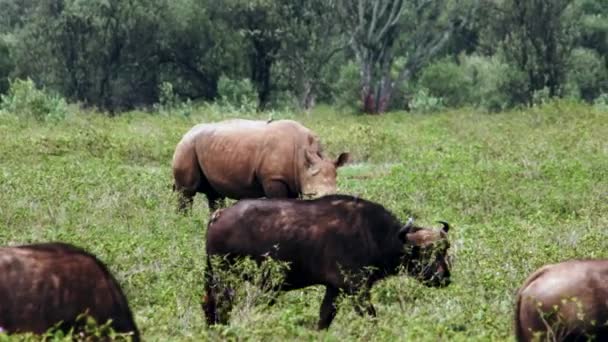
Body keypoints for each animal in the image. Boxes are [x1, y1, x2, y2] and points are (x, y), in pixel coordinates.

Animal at [171, 119, 352, 211]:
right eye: (312, 196)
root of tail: (186, 132)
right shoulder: (274, 179)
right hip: (186, 147)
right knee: (186, 192)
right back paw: (184, 223)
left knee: (214, 194)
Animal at [204, 194, 452, 330]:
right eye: (423, 253)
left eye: (444, 250)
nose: (444, 278)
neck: (373, 234)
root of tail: (220, 214)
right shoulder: (356, 289)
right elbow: (371, 317)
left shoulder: (335, 289)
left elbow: (324, 319)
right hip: (225, 277)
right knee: (221, 306)